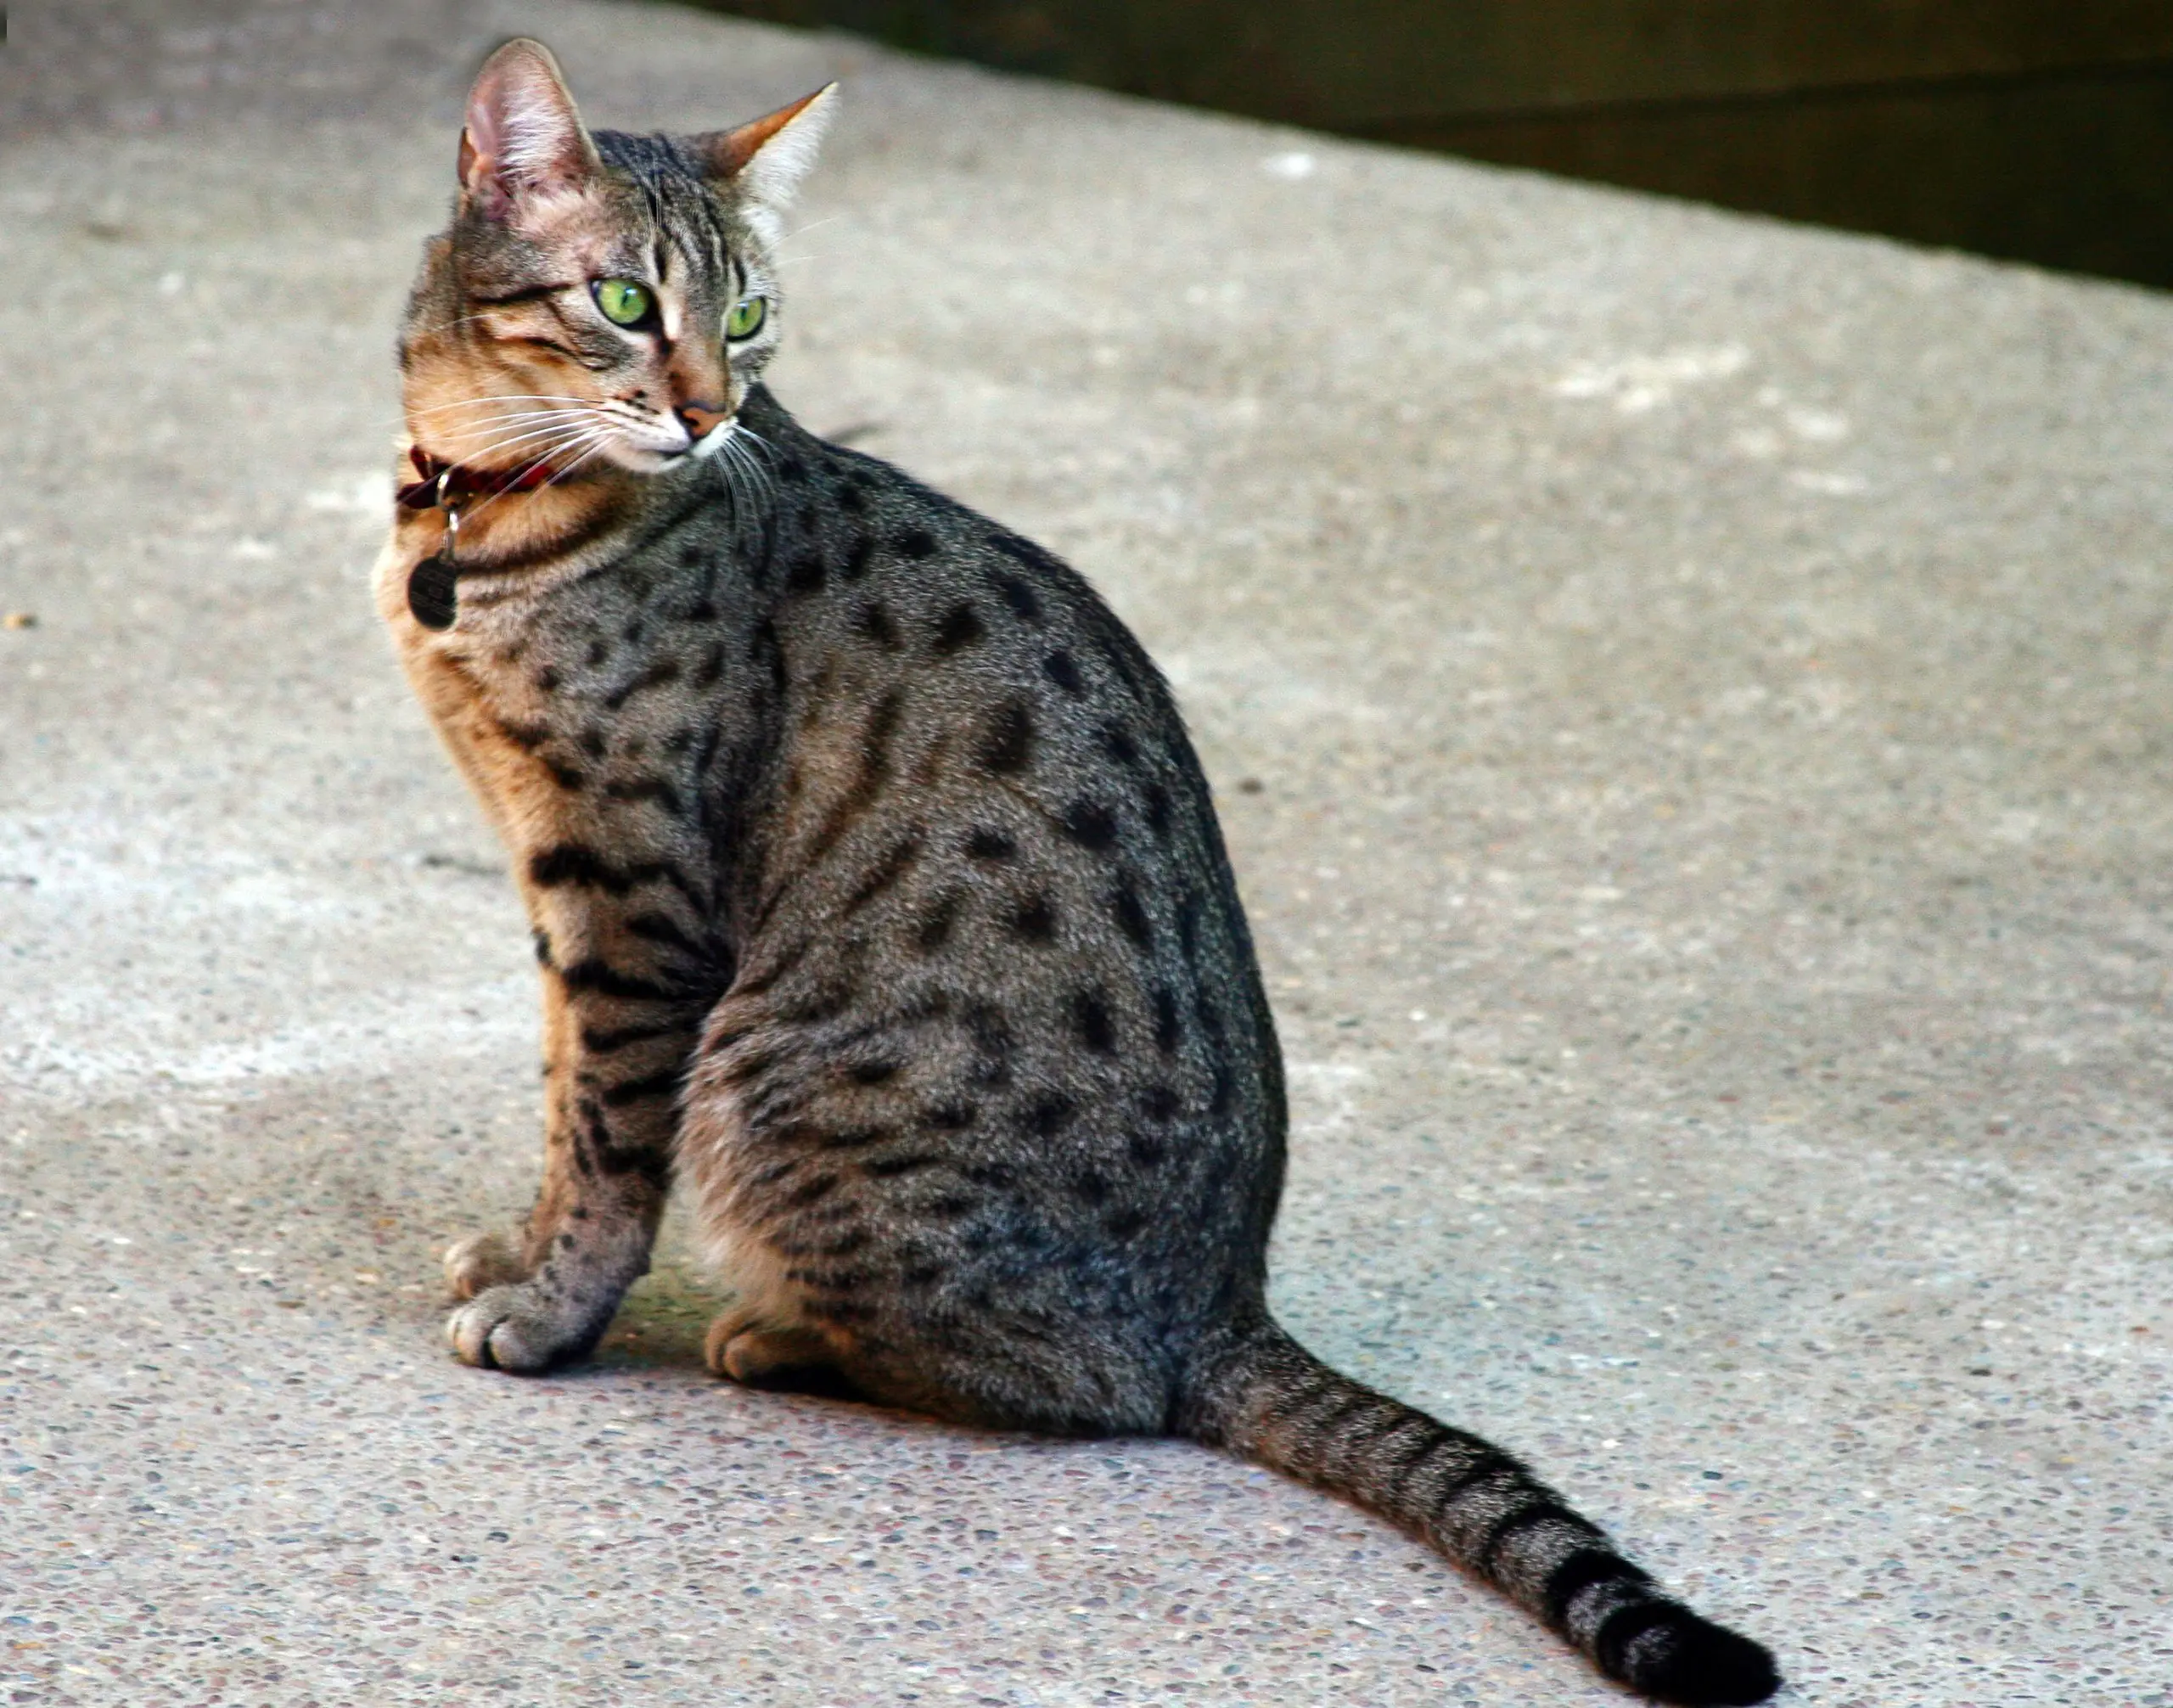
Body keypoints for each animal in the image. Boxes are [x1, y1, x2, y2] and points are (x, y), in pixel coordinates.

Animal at [373, 40, 1782, 1703]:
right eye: (624, 301)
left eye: (745, 317)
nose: (710, 413)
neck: (483, 505)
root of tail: (1224, 1306)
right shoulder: (558, 881)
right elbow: (557, 1100)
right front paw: (519, 1249)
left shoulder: (632, 889)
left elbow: (604, 1132)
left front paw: (553, 1310)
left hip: (773, 1086)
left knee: (1088, 1388)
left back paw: (786, 1337)